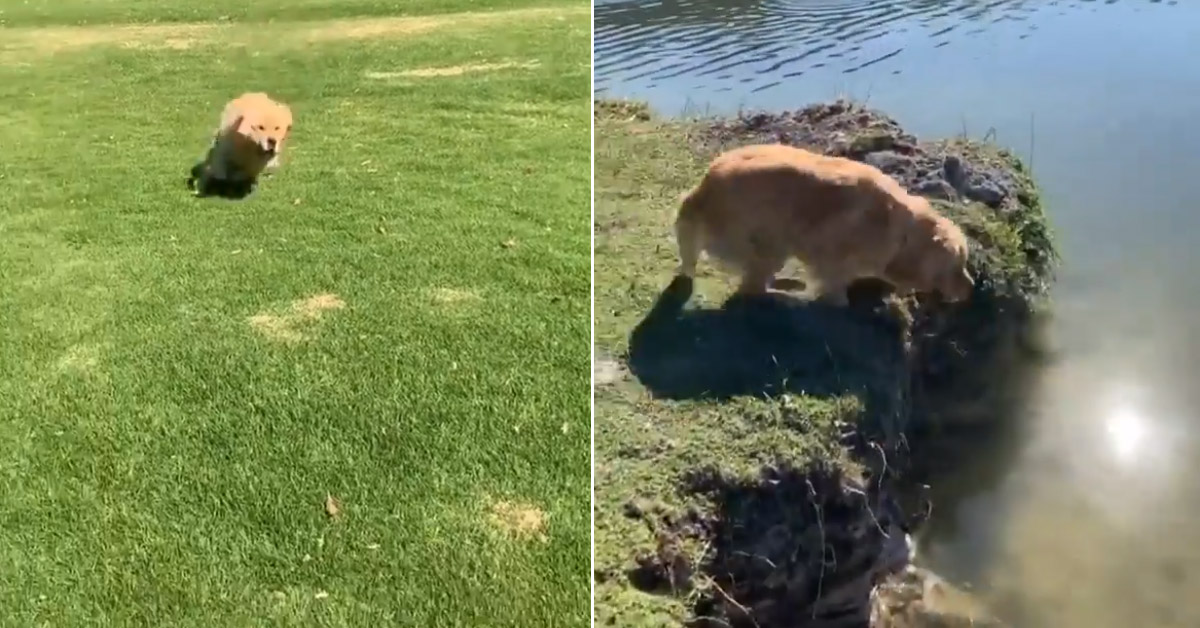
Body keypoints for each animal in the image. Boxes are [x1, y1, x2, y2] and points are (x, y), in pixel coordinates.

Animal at [676, 145, 974, 307]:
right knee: (752, 288)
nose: (972, 288)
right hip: (772, 237)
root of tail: (701, 192)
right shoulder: (831, 249)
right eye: (957, 266)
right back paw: (786, 296)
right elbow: (836, 286)